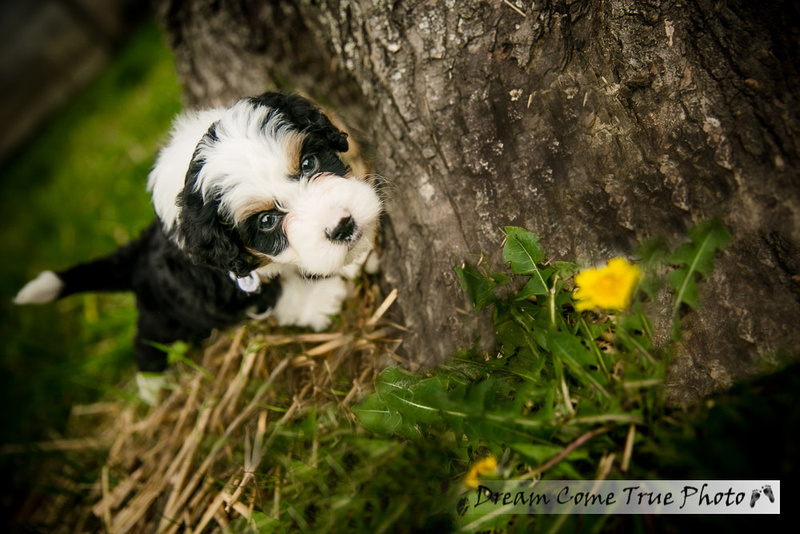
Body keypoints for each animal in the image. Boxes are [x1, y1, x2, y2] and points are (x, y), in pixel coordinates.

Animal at [14, 92, 384, 404]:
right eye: (266, 221)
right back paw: (152, 389)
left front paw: (351, 262)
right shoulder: (221, 282)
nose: (343, 226)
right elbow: (275, 293)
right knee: (145, 342)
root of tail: (136, 255)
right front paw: (322, 300)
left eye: (309, 163)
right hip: (160, 316)